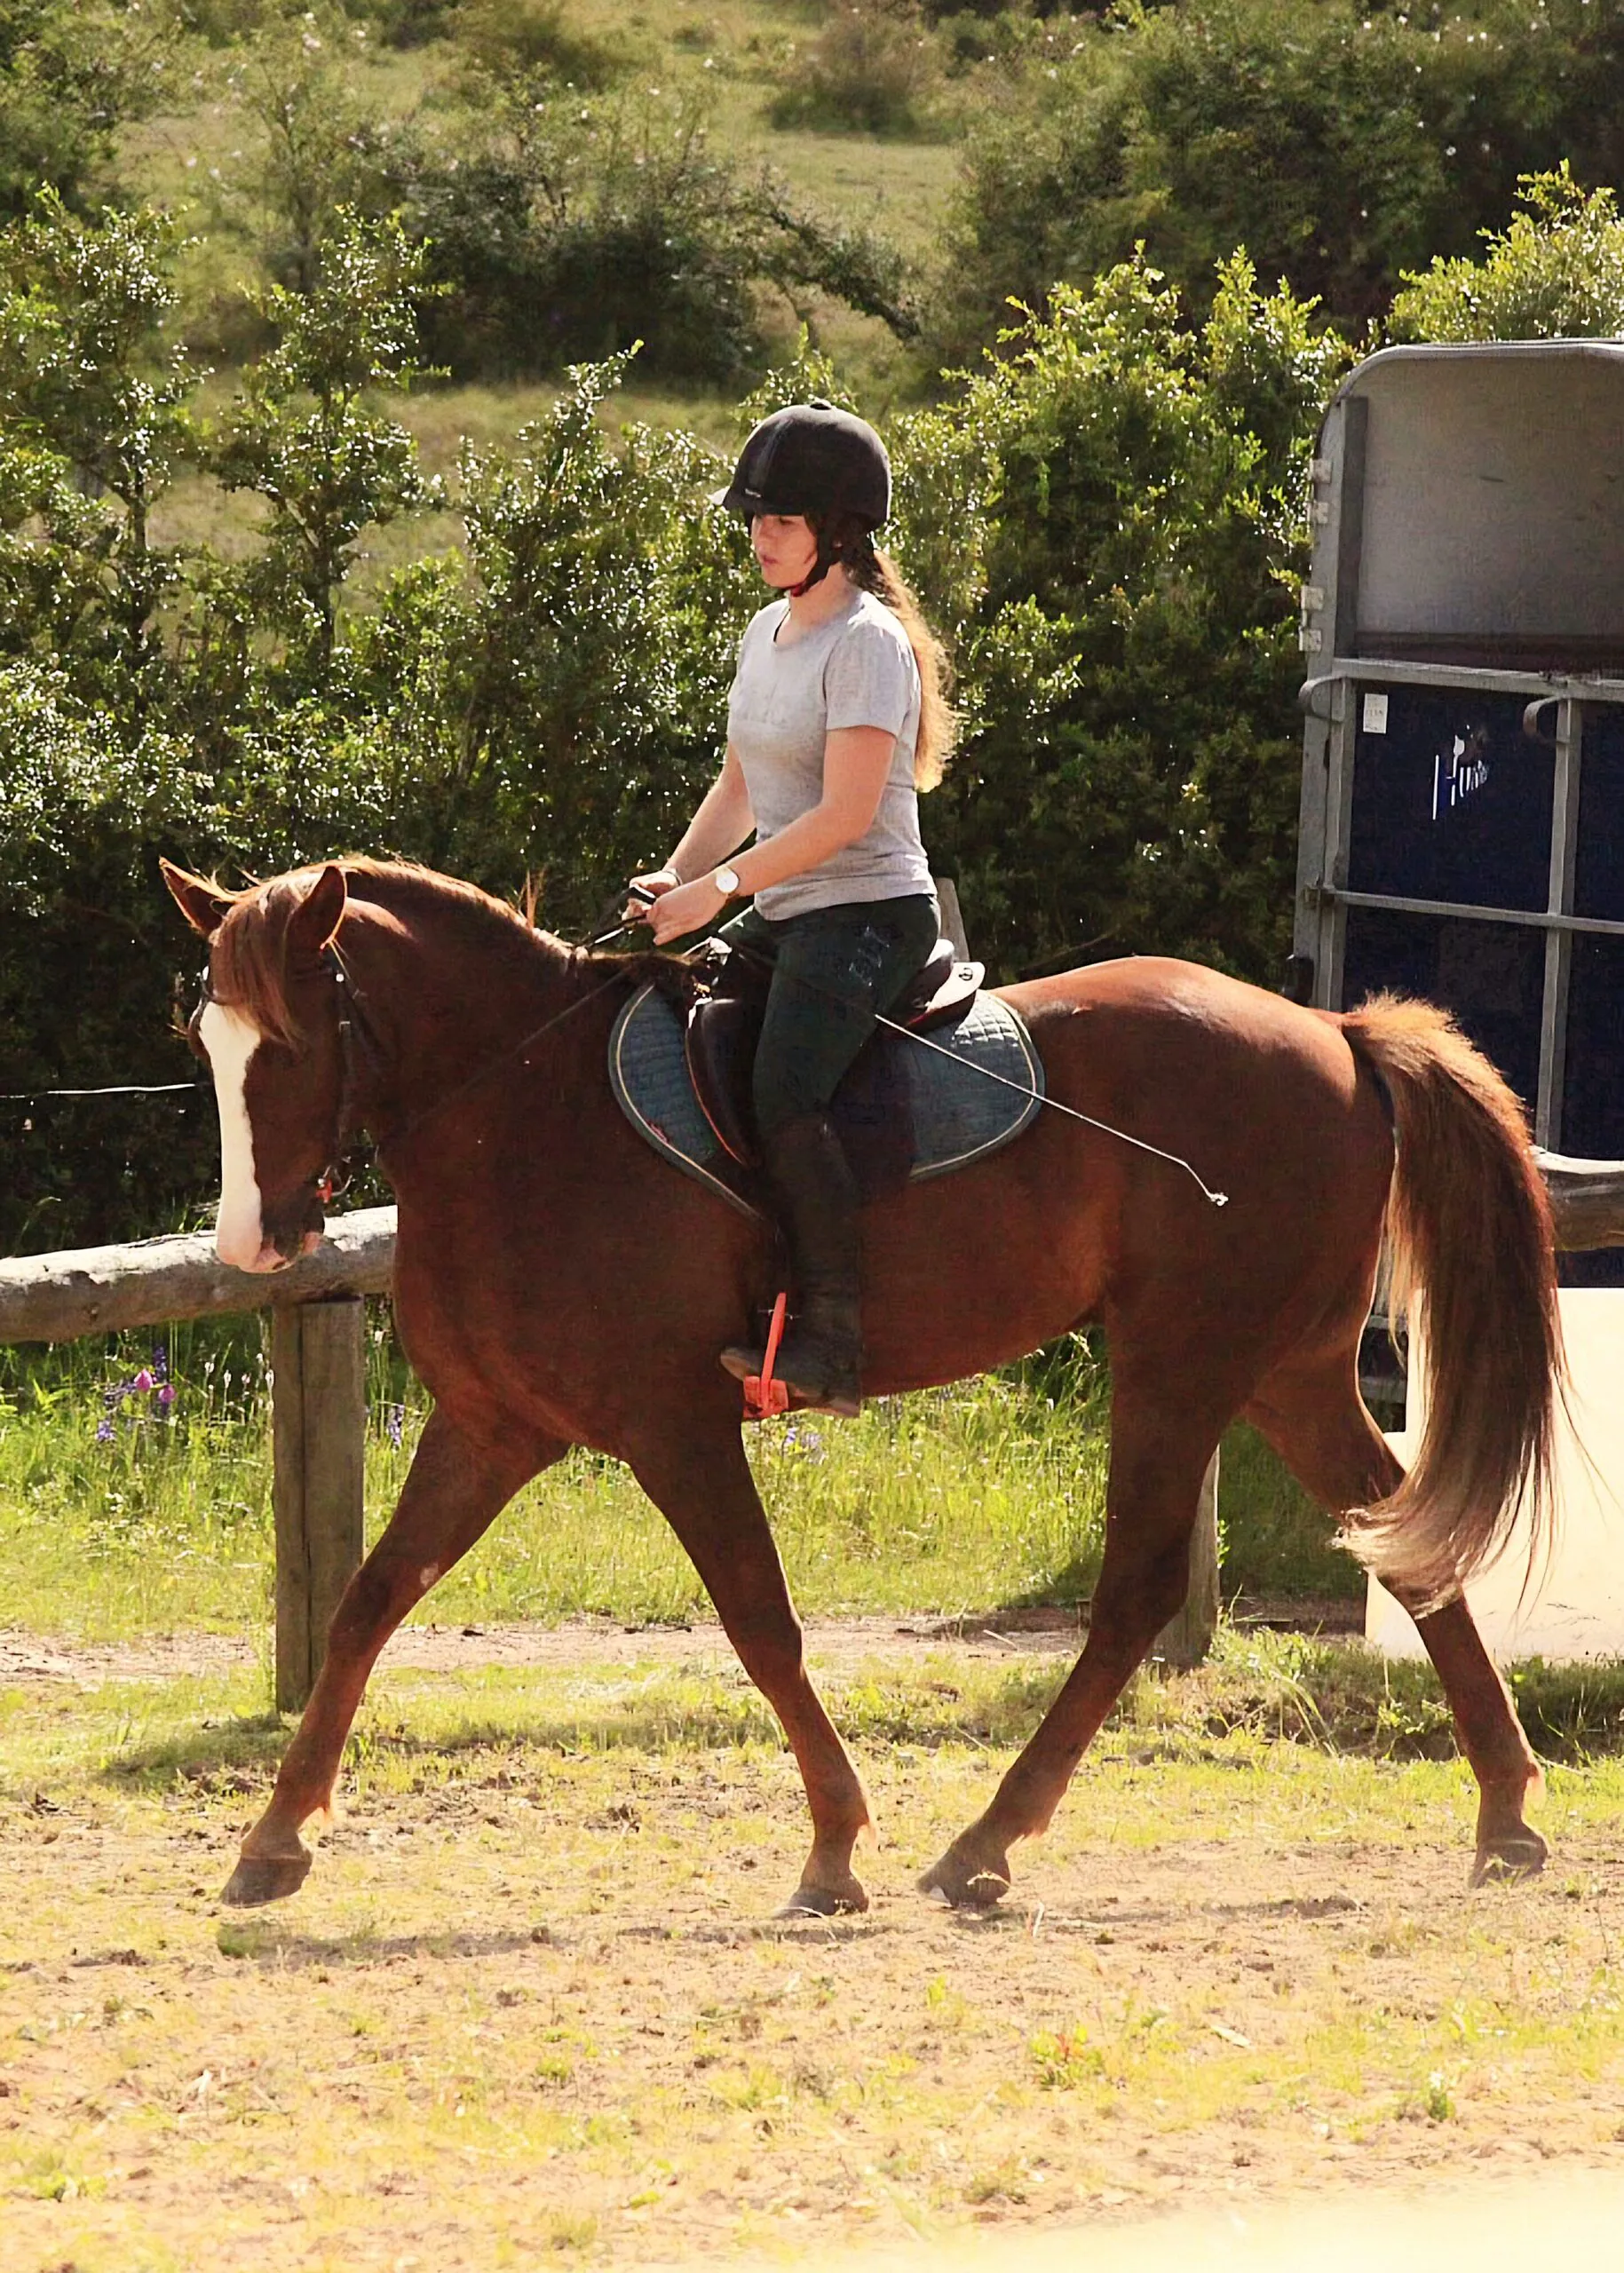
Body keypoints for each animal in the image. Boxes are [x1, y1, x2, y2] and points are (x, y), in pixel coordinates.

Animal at [161, 859, 1556, 1909]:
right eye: (209, 1040)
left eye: (289, 1043)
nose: (251, 1243)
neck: (522, 1115)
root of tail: (1333, 1033)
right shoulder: (489, 1427)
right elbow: (365, 1605)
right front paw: (273, 1842)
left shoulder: (673, 1426)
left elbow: (758, 1619)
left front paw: (834, 1847)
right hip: (1283, 1368)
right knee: (1401, 1541)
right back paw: (1502, 1814)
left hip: (1183, 1358)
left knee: (1142, 1587)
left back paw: (986, 1843)